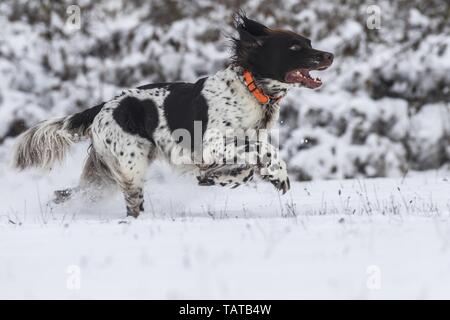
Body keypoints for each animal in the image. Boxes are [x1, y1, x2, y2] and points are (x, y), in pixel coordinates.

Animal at [12, 13, 332, 218]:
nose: (329, 55)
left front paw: (220, 179)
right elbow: (262, 151)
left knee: (69, 194)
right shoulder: (214, 143)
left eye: (309, 41)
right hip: (131, 167)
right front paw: (278, 174)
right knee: (131, 206)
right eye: (295, 47)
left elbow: (245, 167)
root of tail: (102, 106)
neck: (252, 88)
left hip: (105, 175)